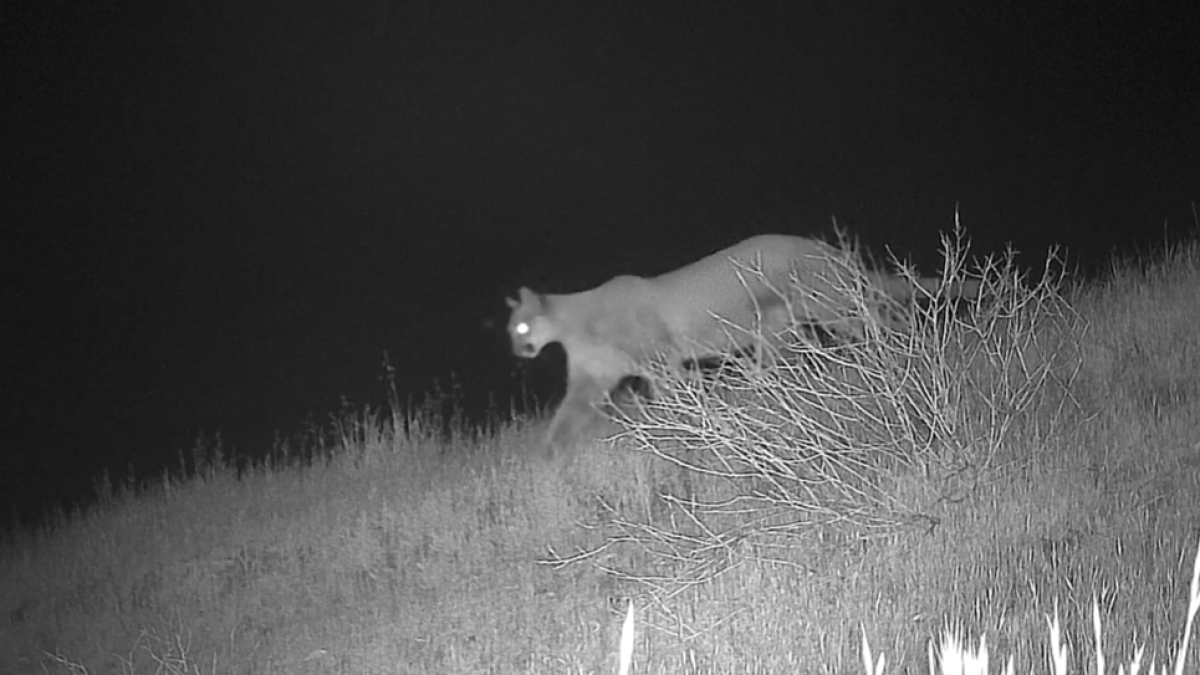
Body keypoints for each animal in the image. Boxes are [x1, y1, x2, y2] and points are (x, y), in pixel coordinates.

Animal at [507, 233, 980, 462]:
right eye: (510, 330)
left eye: (523, 325)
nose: (518, 350)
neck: (574, 328)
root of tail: (822, 246)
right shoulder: (589, 383)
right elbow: (564, 421)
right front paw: (546, 461)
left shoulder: (660, 361)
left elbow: (679, 397)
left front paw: (691, 433)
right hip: (782, 327)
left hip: (826, 305)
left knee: (880, 322)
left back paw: (910, 355)